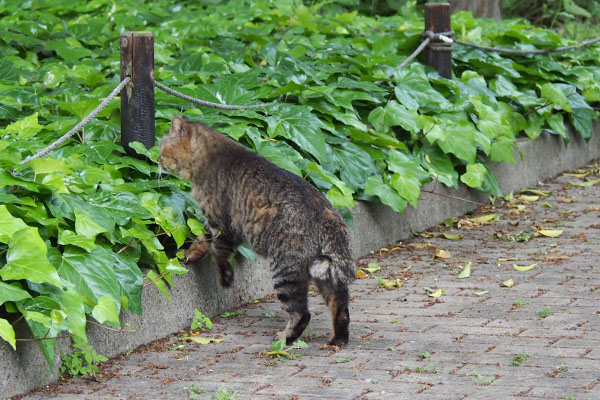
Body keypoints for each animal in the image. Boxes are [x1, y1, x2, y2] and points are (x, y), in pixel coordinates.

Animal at [159, 116, 356, 346]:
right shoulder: (214, 224)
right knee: (340, 307)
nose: (156, 159)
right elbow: (202, 239)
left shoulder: (222, 225)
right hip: (324, 275)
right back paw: (338, 340)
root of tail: (329, 217)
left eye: (162, 148)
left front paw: (225, 278)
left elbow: (219, 253)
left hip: (285, 272)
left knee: (302, 313)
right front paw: (190, 254)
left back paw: (285, 339)